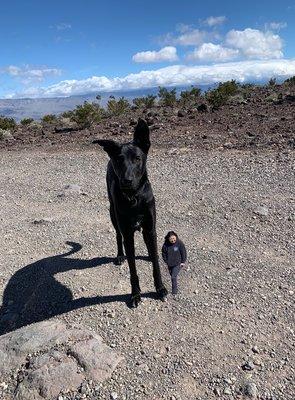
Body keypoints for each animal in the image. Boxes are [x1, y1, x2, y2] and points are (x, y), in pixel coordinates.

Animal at [95, 118, 169, 306]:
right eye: (119, 160)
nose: (126, 181)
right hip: (113, 213)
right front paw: (135, 294)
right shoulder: (128, 234)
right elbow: (132, 268)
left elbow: (156, 265)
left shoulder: (150, 228)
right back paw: (120, 256)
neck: (134, 197)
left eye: (137, 158)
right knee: (117, 236)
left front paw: (160, 288)